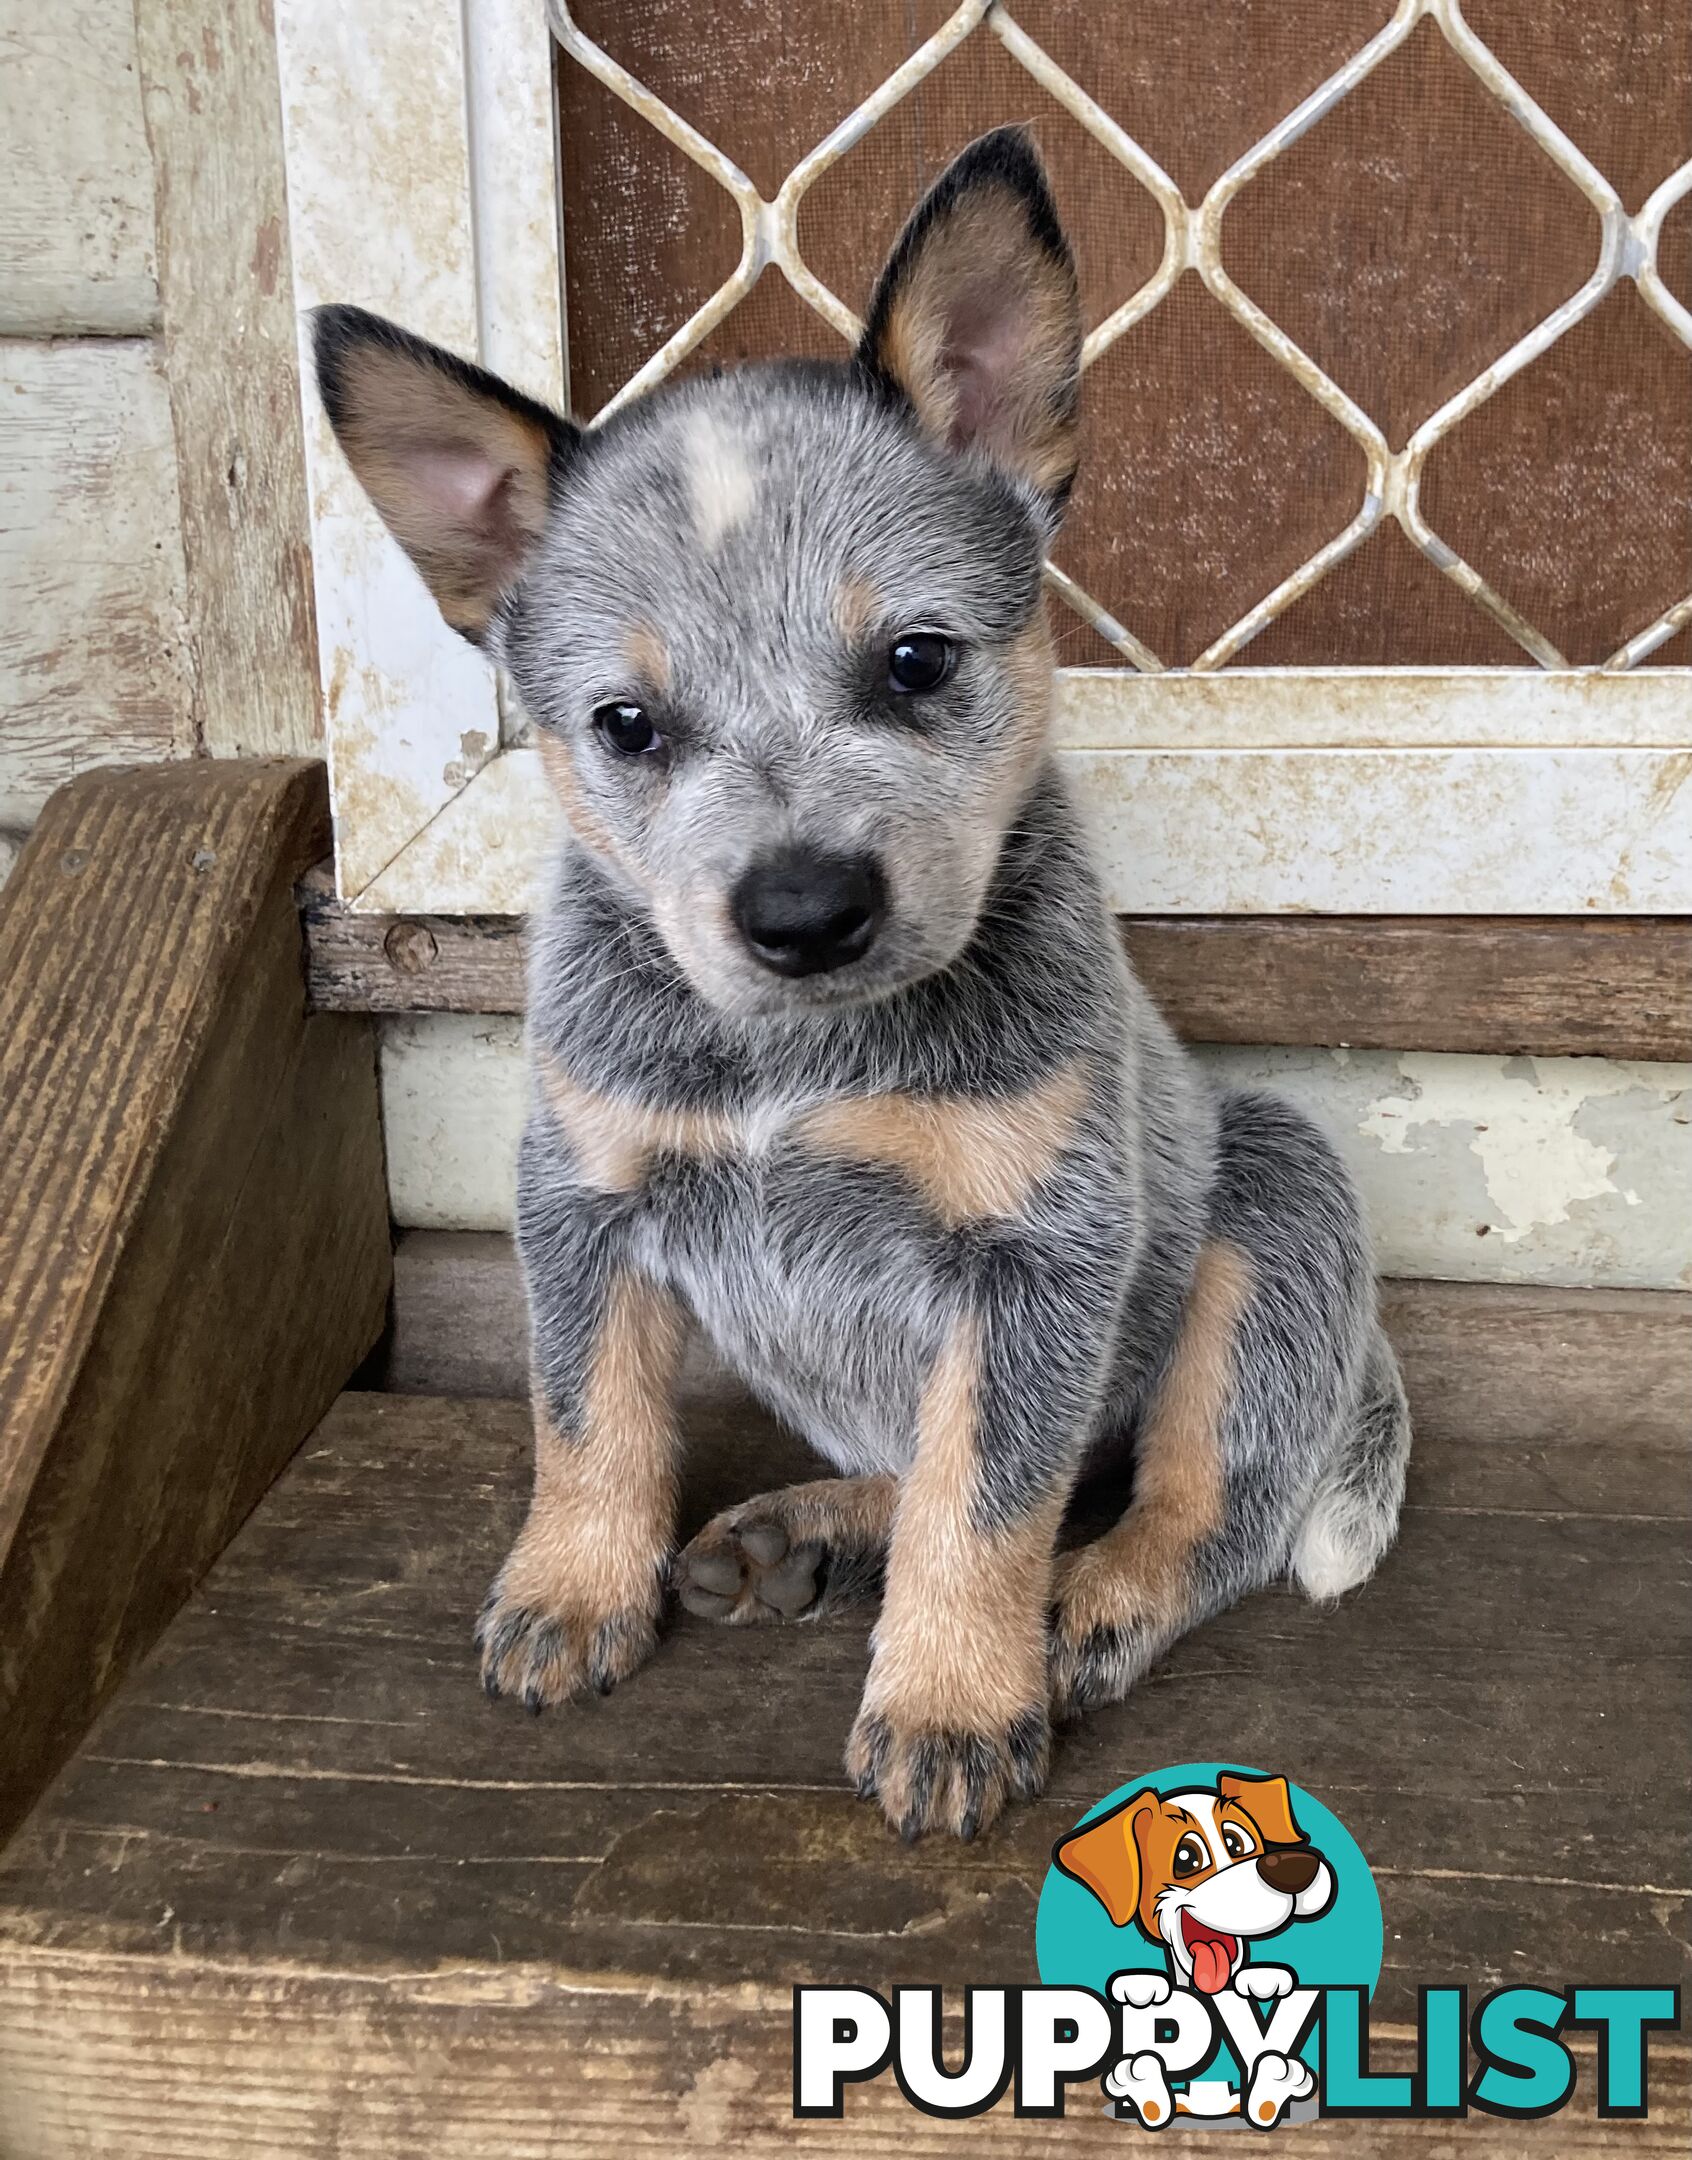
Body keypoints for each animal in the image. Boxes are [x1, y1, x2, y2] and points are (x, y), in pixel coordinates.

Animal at [311, 126, 1408, 1840]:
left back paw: (1091, 1602)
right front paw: (570, 1591)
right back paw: (818, 1525)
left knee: (1189, 1505)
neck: (796, 1063)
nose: (804, 908)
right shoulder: (583, 1192)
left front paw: (951, 1703)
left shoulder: (1036, 1253)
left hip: (1275, 1210)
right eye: (627, 723)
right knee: (932, 1461)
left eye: (915, 662)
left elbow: (991, 1500)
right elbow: (585, 1422)